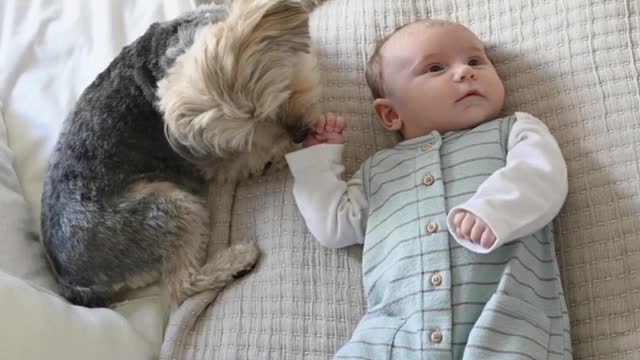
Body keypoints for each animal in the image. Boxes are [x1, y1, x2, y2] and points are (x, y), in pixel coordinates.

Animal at [40, 0, 320, 310]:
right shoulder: (213, 160)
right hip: (167, 208)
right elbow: (249, 157)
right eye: (249, 130)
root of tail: (72, 281)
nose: (299, 133)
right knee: (180, 287)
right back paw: (238, 260)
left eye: (280, 91)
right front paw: (283, 152)